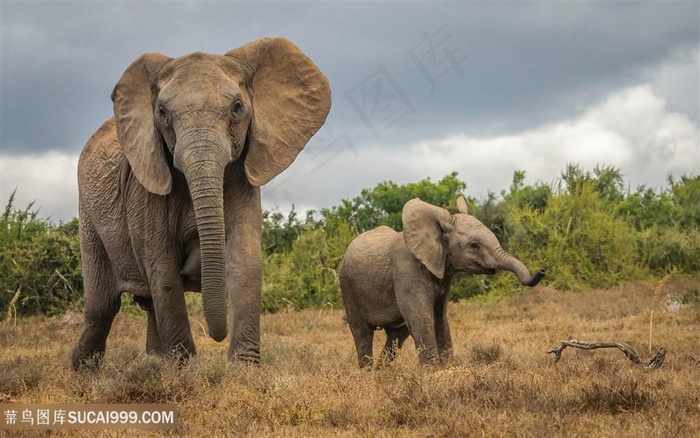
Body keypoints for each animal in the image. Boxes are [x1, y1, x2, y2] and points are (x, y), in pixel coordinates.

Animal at [71, 36, 330, 370]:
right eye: (162, 113)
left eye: (237, 108)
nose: (217, 336)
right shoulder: (145, 185)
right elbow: (163, 269)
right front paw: (185, 370)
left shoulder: (242, 179)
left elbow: (244, 260)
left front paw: (243, 369)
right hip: (89, 214)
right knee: (102, 305)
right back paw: (83, 371)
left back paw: (155, 361)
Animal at [340, 197, 548, 368]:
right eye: (474, 245)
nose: (542, 270)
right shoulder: (407, 272)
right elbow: (420, 315)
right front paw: (432, 372)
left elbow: (439, 316)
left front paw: (447, 367)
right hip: (347, 285)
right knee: (363, 332)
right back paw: (369, 373)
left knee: (397, 335)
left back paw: (382, 372)